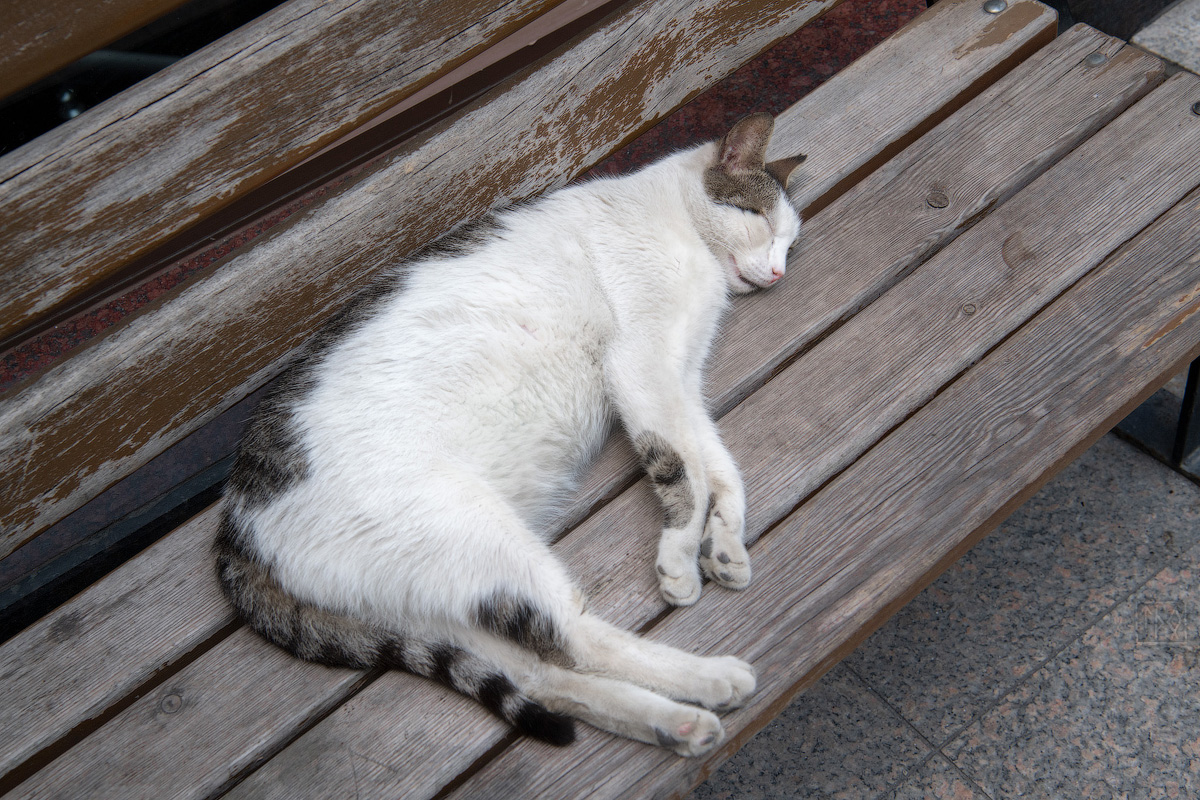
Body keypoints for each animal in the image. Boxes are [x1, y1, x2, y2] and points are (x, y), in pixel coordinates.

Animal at [216, 112, 806, 758]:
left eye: (789, 243)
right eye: (760, 220)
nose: (779, 271)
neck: (672, 217)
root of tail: (236, 526)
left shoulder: (682, 378)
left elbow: (720, 467)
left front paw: (725, 545)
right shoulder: (641, 364)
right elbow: (686, 470)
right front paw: (679, 554)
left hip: (441, 596)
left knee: (543, 674)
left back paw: (676, 721)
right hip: (479, 535)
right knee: (576, 637)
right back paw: (709, 679)